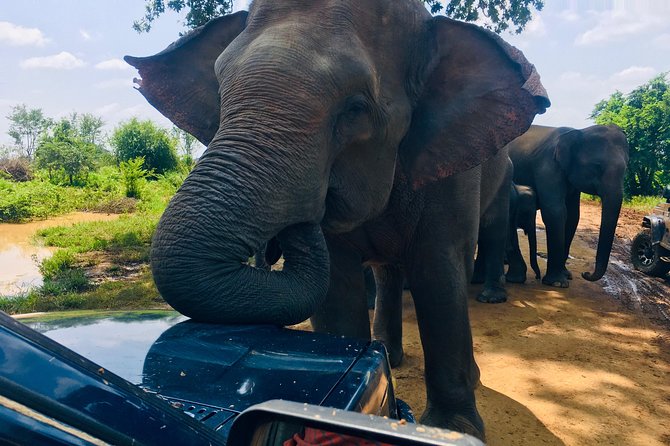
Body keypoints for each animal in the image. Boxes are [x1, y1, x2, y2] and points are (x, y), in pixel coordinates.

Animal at [125, 0, 549, 438]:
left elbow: (439, 272)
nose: (313, 202)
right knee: (387, 271)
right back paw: (389, 355)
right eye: (222, 93)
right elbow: (337, 286)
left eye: (355, 109)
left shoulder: (451, 169)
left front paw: (454, 429)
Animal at [507, 125, 629, 287]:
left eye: (625, 169)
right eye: (597, 167)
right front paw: (557, 283)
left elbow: (573, 216)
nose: (585, 274)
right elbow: (555, 212)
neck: (578, 131)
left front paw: (566, 275)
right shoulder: (548, 167)